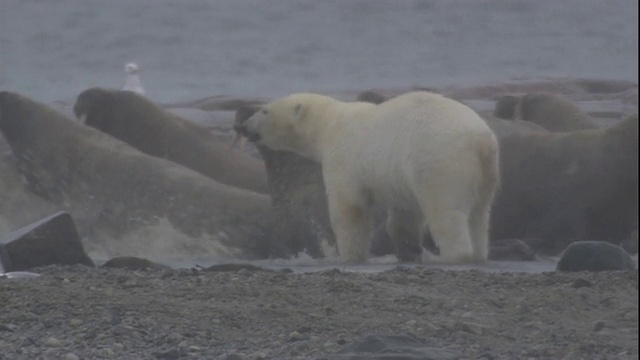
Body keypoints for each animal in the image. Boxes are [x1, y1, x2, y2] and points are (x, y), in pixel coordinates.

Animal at [240, 91, 500, 262]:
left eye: (264, 110)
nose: (244, 127)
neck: (330, 123)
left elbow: (349, 209)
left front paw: (350, 255)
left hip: (440, 162)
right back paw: (479, 254)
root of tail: (481, 141)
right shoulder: (400, 176)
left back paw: (457, 255)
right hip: (485, 172)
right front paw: (407, 248)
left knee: (446, 213)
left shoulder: (343, 156)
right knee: (480, 215)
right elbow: (404, 213)